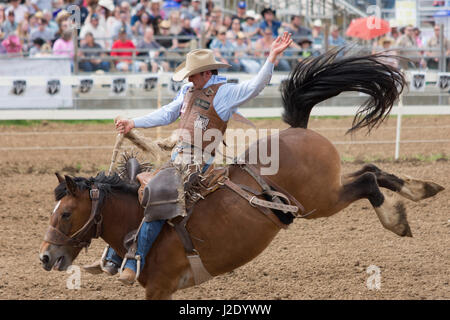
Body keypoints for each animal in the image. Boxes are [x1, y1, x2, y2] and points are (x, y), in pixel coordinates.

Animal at [39, 48, 442, 298]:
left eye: (66, 213)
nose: (45, 257)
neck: (135, 221)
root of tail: (298, 130)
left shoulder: (160, 288)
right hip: (327, 190)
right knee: (372, 170)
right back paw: (421, 189)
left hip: (322, 200)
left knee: (368, 181)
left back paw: (397, 219)